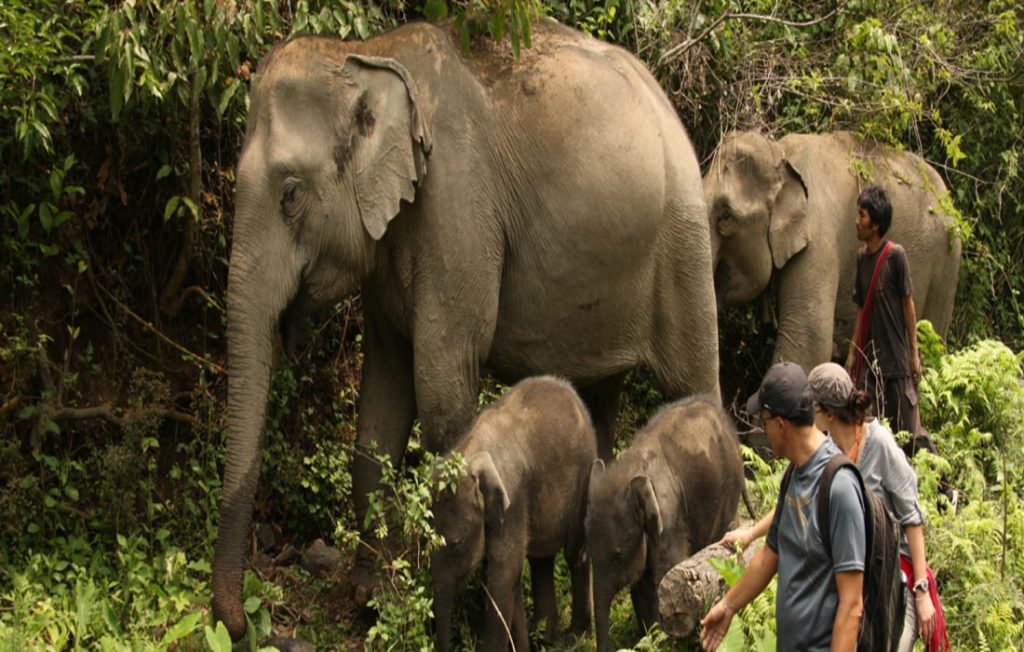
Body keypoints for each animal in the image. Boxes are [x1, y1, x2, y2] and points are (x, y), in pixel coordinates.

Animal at [430, 376, 593, 650]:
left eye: (458, 546)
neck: (471, 451)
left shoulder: (514, 498)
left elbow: (504, 572)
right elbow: (511, 574)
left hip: (585, 472)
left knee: (574, 553)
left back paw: (574, 637)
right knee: (541, 559)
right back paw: (544, 638)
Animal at [585, 395, 745, 646]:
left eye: (618, 556)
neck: (628, 470)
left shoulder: (669, 519)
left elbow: (665, 574)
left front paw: (663, 640)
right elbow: (641, 585)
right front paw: (652, 638)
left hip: (730, 487)